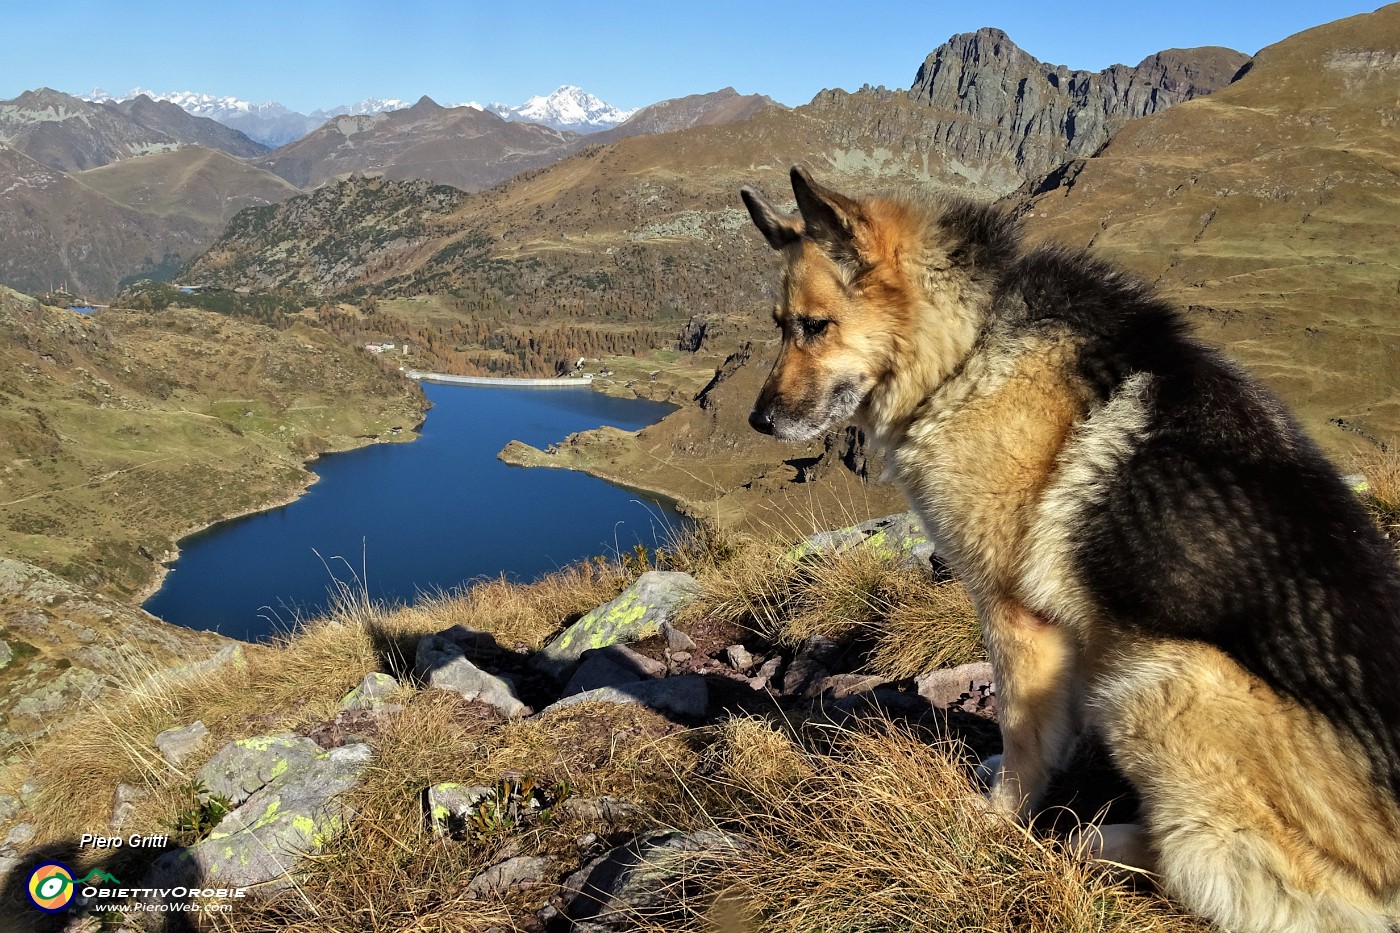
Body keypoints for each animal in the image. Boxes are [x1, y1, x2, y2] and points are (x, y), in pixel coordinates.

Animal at [750, 168, 1400, 930]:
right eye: (779, 325)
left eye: (814, 325)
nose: (759, 419)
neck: (965, 350)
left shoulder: (1014, 614)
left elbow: (1025, 736)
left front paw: (997, 820)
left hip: (1159, 679)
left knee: (1232, 878)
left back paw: (1092, 837)